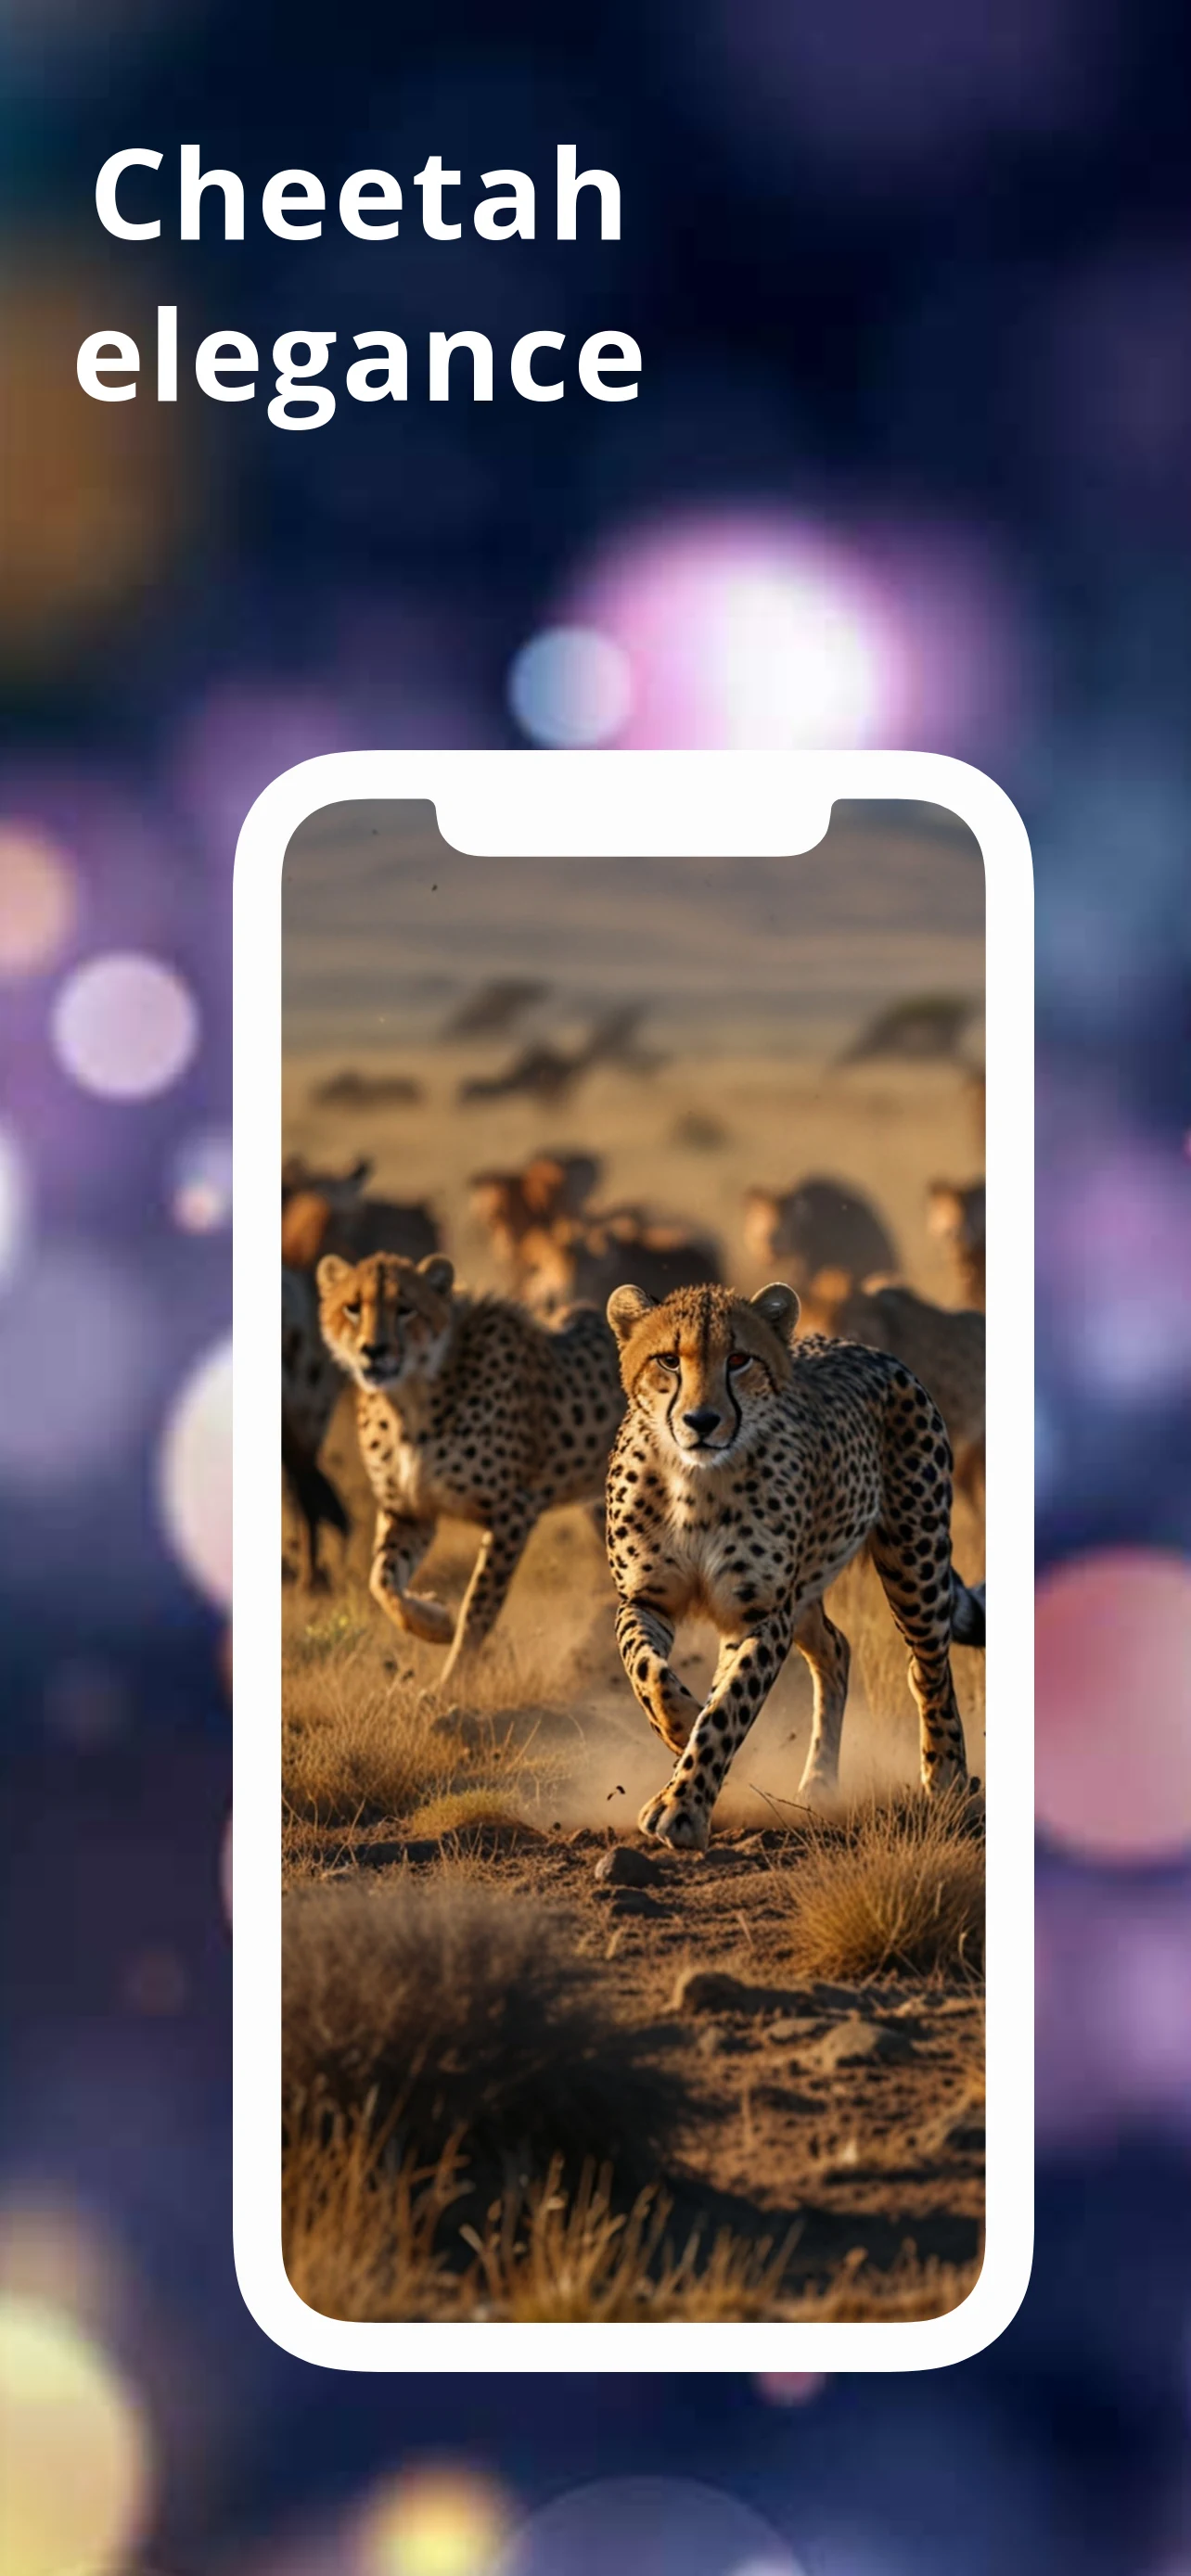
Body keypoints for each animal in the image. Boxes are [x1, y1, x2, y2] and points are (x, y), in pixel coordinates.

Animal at [317, 1249, 625, 1683]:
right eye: (352, 1307)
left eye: (405, 1308)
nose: (373, 1350)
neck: (412, 1397)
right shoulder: (411, 1511)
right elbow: (383, 1582)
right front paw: (437, 1623)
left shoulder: (514, 1511)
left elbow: (479, 1604)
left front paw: (452, 1681)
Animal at [604, 1278, 985, 1851]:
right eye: (669, 1360)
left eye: (738, 1359)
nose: (702, 1421)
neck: (697, 1482)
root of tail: (865, 1347)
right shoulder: (647, 1598)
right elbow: (647, 1672)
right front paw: (681, 1727)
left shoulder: (761, 1614)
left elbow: (729, 1706)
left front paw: (683, 1806)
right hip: (808, 1589)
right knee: (836, 1649)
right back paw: (820, 1781)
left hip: (913, 1560)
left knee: (928, 1667)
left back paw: (946, 1776)